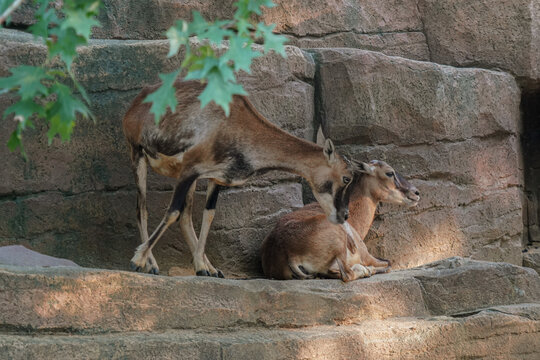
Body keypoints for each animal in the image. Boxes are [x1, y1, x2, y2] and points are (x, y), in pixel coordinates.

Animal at [124, 80, 356, 278]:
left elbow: (208, 215)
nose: (343, 215)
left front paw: (203, 267)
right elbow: (171, 212)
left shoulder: (213, 178)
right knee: (141, 209)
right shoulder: (189, 170)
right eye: (346, 178)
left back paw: (206, 267)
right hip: (138, 155)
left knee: (186, 217)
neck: (232, 119)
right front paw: (137, 260)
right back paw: (150, 264)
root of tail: (137, 102)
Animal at [260, 160, 420, 282]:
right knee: (346, 274)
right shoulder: (367, 255)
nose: (416, 193)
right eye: (389, 172)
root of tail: (289, 253)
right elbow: (388, 262)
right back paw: (366, 270)